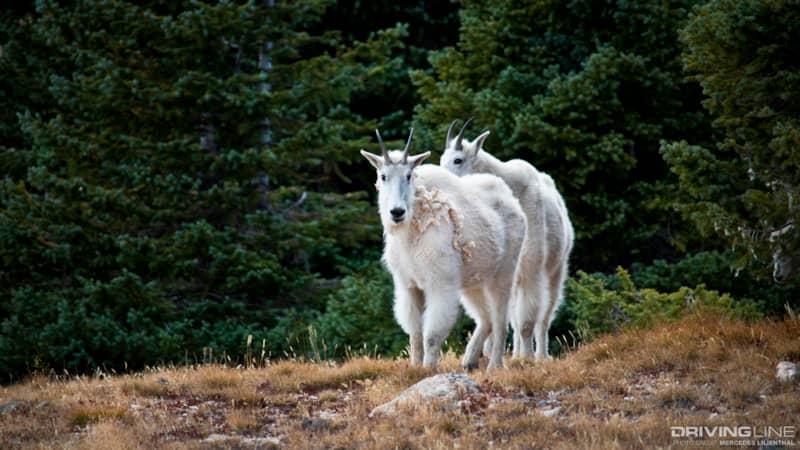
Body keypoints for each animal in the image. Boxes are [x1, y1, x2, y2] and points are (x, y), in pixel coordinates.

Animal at [361, 128, 526, 369]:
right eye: (383, 176)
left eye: (408, 176)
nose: (397, 212)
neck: (410, 235)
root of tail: (511, 199)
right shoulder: (408, 285)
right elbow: (415, 332)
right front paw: (414, 368)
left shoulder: (440, 283)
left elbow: (431, 333)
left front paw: (429, 368)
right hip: (474, 281)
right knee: (485, 317)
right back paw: (469, 360)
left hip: (504, 273)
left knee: (499, 321)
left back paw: (495, 365)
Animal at [440, 119, 574, 360]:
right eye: (441, 159)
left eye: (458, 160)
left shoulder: (531, 268)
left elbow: (527, 320)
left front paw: (527, 359)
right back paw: (515, 354)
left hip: (556, 269)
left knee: (544, 316)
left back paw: (540, 355)